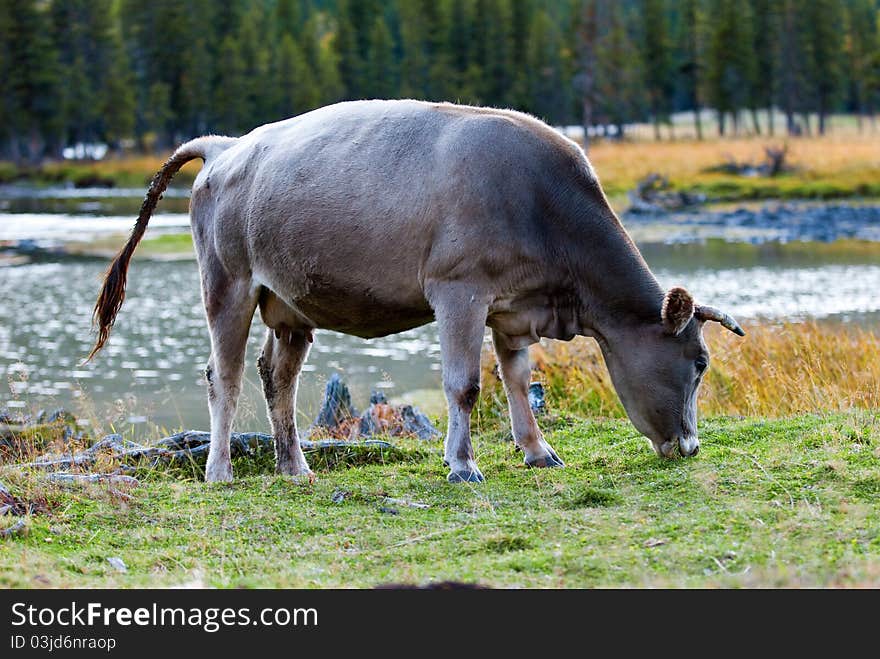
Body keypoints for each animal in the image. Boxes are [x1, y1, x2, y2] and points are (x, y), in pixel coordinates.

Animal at [89, 102, 744, 484]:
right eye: (700, 362)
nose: (690, 446)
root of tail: (227, 146)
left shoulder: (513, 307)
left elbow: (516, 379)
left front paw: (538, 451)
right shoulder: (460, 291)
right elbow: (465, 385)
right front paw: (462, 464)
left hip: (289, 302)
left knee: (277, 376)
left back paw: (295, 467)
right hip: (228, 284)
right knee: (222, 376)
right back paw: (221, 471)